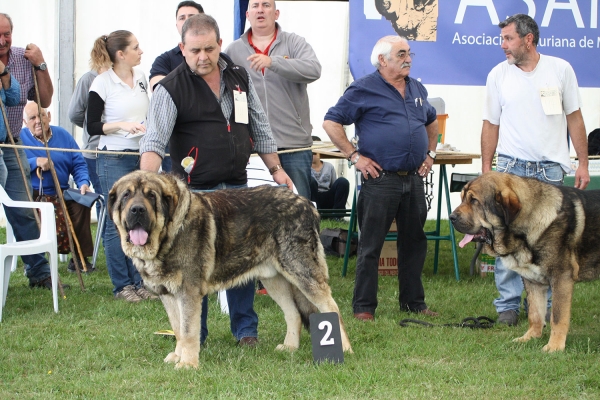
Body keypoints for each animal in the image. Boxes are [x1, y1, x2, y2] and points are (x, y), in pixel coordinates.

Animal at [109, 170, 352, 368]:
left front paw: (188, 364)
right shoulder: (168, 294)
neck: (168, 234)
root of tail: (306, 203)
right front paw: (178, 356)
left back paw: (344, 349)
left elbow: (188, 331)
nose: (137, 210)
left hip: (303, 273)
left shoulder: (188, 293)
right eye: (126, 196)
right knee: (293, 313)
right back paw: (290, 347)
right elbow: (178, 329)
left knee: (331, 308)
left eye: (151, 196)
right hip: (275, 279)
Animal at [450, 170, 600, 352]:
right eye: (462, 198)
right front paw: (530, 338)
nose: (451, 217)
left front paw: (554, 347)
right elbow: (535, 313)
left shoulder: (561, 278)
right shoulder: (533, 281)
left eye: (474, 200)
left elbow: (557, 317)